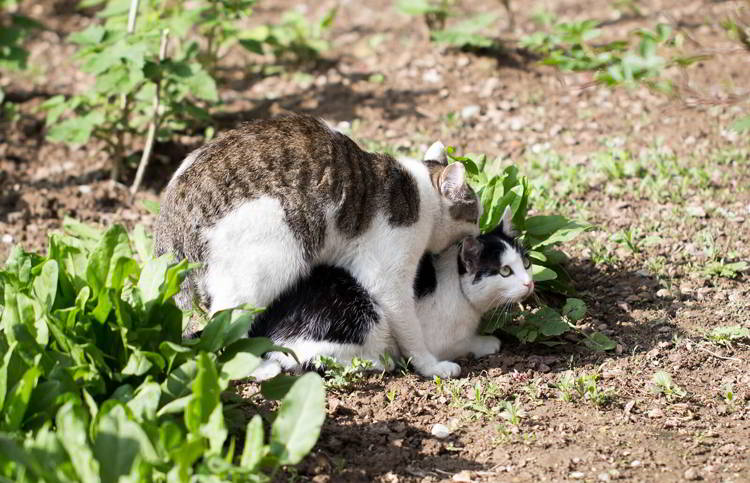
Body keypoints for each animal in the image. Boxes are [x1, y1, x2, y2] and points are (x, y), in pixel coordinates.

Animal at [154, 115, 482, 380]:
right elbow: (411, 331)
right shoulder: (388, 278)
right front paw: (431, 365)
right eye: (476, 215)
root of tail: (170, 220)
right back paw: (257, 368)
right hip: (272, 254)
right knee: (222, 325)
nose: (479, 233)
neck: (420, 193)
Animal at [245, 208, 536, 378]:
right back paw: (379, 362)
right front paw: (485, 342)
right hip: (364, 315)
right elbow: (460, 344)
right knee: (313, 360)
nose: (529, 284)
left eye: (526, 263)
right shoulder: (436, 339)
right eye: (504, 271)